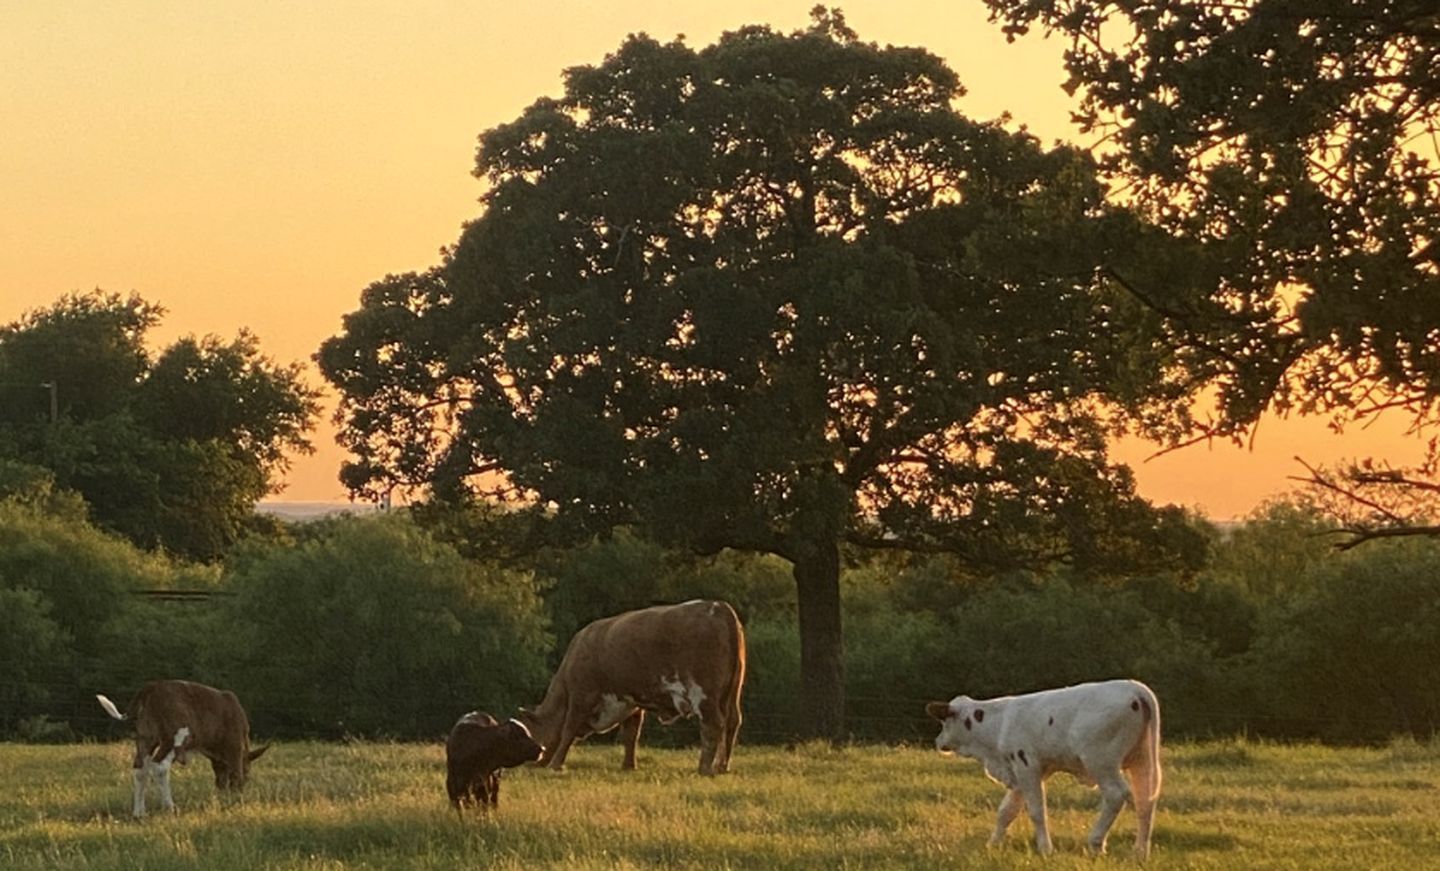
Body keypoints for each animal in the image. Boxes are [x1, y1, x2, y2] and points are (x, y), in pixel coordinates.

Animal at [96, 679, 269, 818]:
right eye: (248, 771)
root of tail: (151, 687)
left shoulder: (218, 759)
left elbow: (220, 779)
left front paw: (223, 797)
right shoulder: (234, 746)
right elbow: (235, 773)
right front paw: (236, 799)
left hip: (145, 739)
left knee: (140, 769)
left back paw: (139, 812)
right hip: (173, 739)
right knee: (160, 767)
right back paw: (169, 807)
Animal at [517, 600, 746, 776]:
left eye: (531, 731)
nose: (533, 760)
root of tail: (719, 606)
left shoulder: (581, 696)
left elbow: (568, 730)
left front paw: (555, 764)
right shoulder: (631, 702)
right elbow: (630, 735)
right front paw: (628, 766)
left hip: (703, 693)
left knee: (713, 725)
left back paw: (704, 768)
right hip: (732, 693)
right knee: (732, 722)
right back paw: (722, 766)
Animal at [926, 679, 1162, 859]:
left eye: (944, 721)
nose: (938, 741)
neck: (998, 723)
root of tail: (1135, 688)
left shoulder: (1026, 766)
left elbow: (1037, 811)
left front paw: (1045, 848)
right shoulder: (1019, 773)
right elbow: (1006, 811)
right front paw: (993, 843)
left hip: (1101, 761)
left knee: (1116, 795)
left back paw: (1096, 843)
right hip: (1141, 761)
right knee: (1145, 800)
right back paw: (1140, 851)